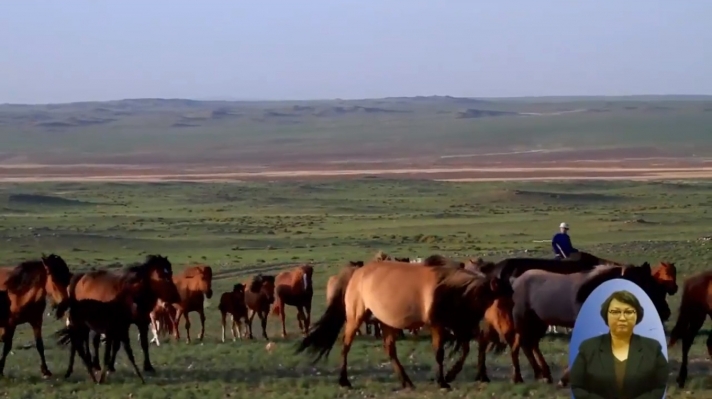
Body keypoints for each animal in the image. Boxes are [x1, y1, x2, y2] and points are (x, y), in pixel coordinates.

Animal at [512, 264, 668, 386]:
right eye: (647, 286)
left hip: (538, 323)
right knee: (524, 345)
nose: (666, 312)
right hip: (524, 321)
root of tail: (516, 281)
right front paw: (565, 379)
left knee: (530, 344)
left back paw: (541, 375)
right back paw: (530, 376)